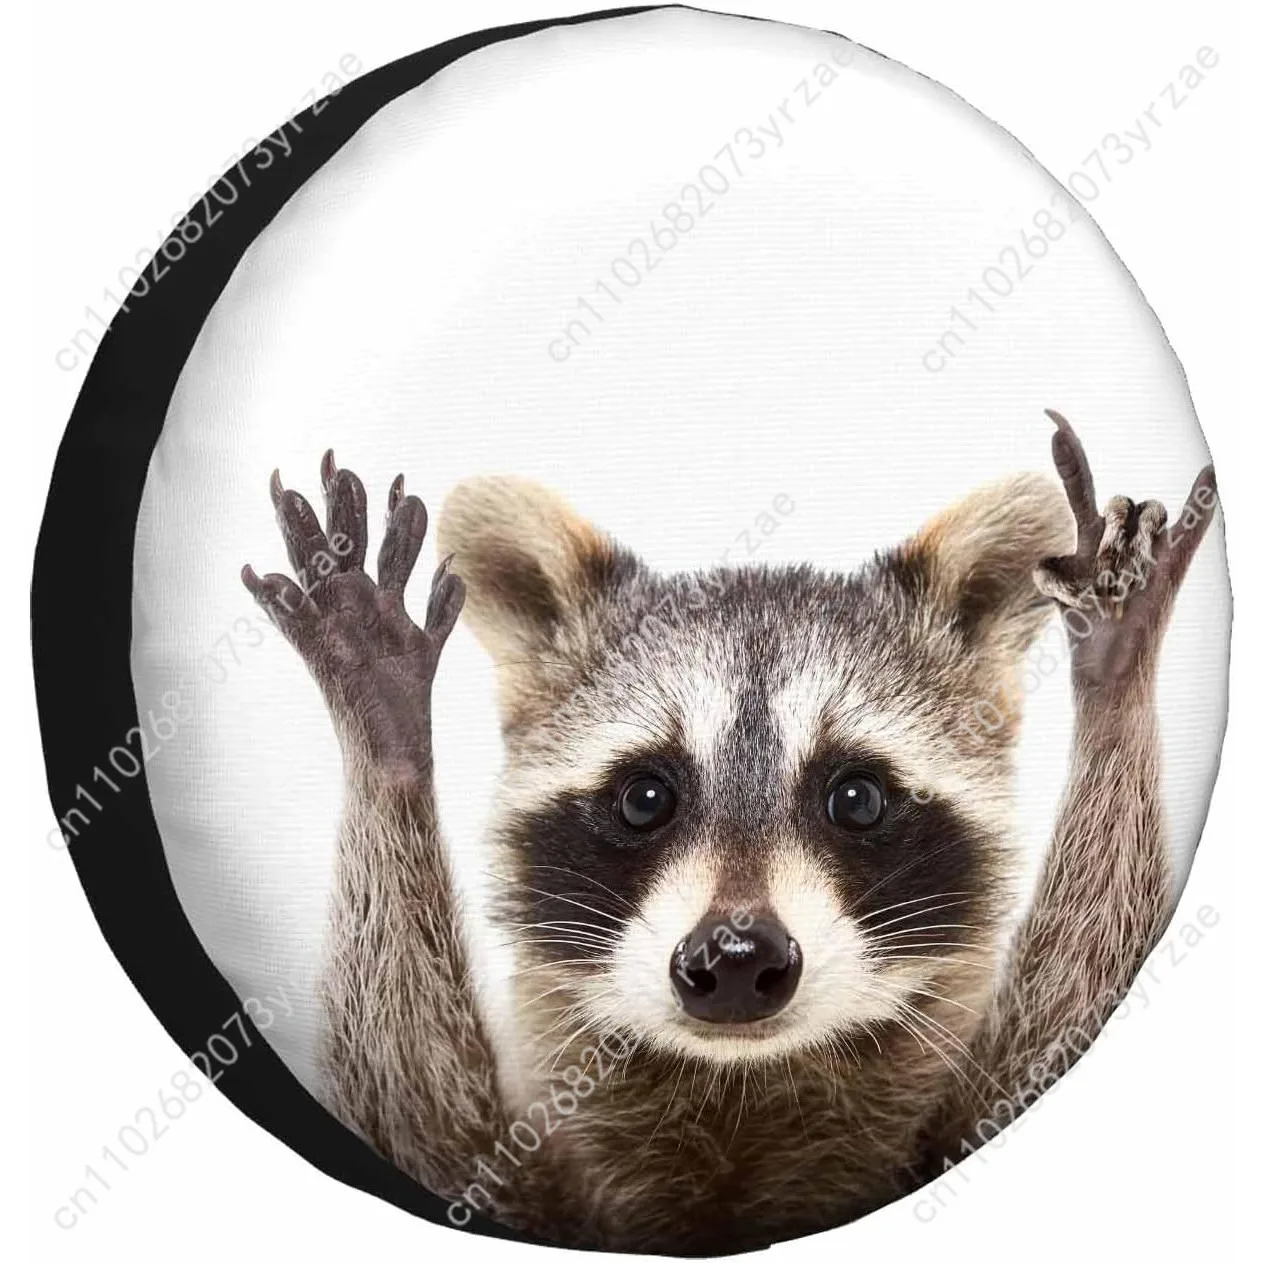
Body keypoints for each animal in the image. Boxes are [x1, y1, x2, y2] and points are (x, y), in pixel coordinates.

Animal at [242, 412, 1217, 1254]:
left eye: (856, 798)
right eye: (644, 797)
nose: (738, 957)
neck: (735, 1087)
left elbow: (1074, 994)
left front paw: (1116, 677)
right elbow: (408, 1107)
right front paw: (385, 730)